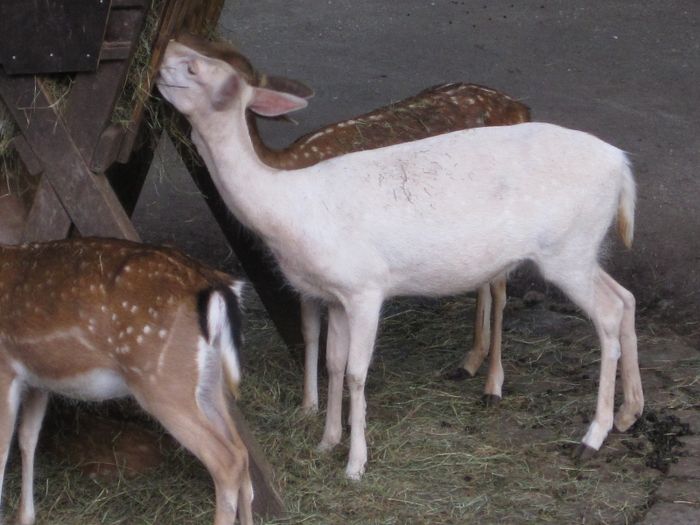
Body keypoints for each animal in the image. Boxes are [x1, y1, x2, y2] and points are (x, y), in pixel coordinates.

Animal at [0, 238, 252, 524]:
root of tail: (216, 286)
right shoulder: (38, 380)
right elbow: (27, 437)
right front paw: (24, 516)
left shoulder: (5, 369)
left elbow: (3, 449)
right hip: (210, 383)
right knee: (242, 451)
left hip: (162, 383)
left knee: (227, 460)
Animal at [211, 40, 528, 410]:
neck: (284, 167)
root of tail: (522, 108)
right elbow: (309, 332)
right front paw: (309, 405)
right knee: (486, 280)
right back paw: (470, 361)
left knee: (500, 288)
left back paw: (492, 385)